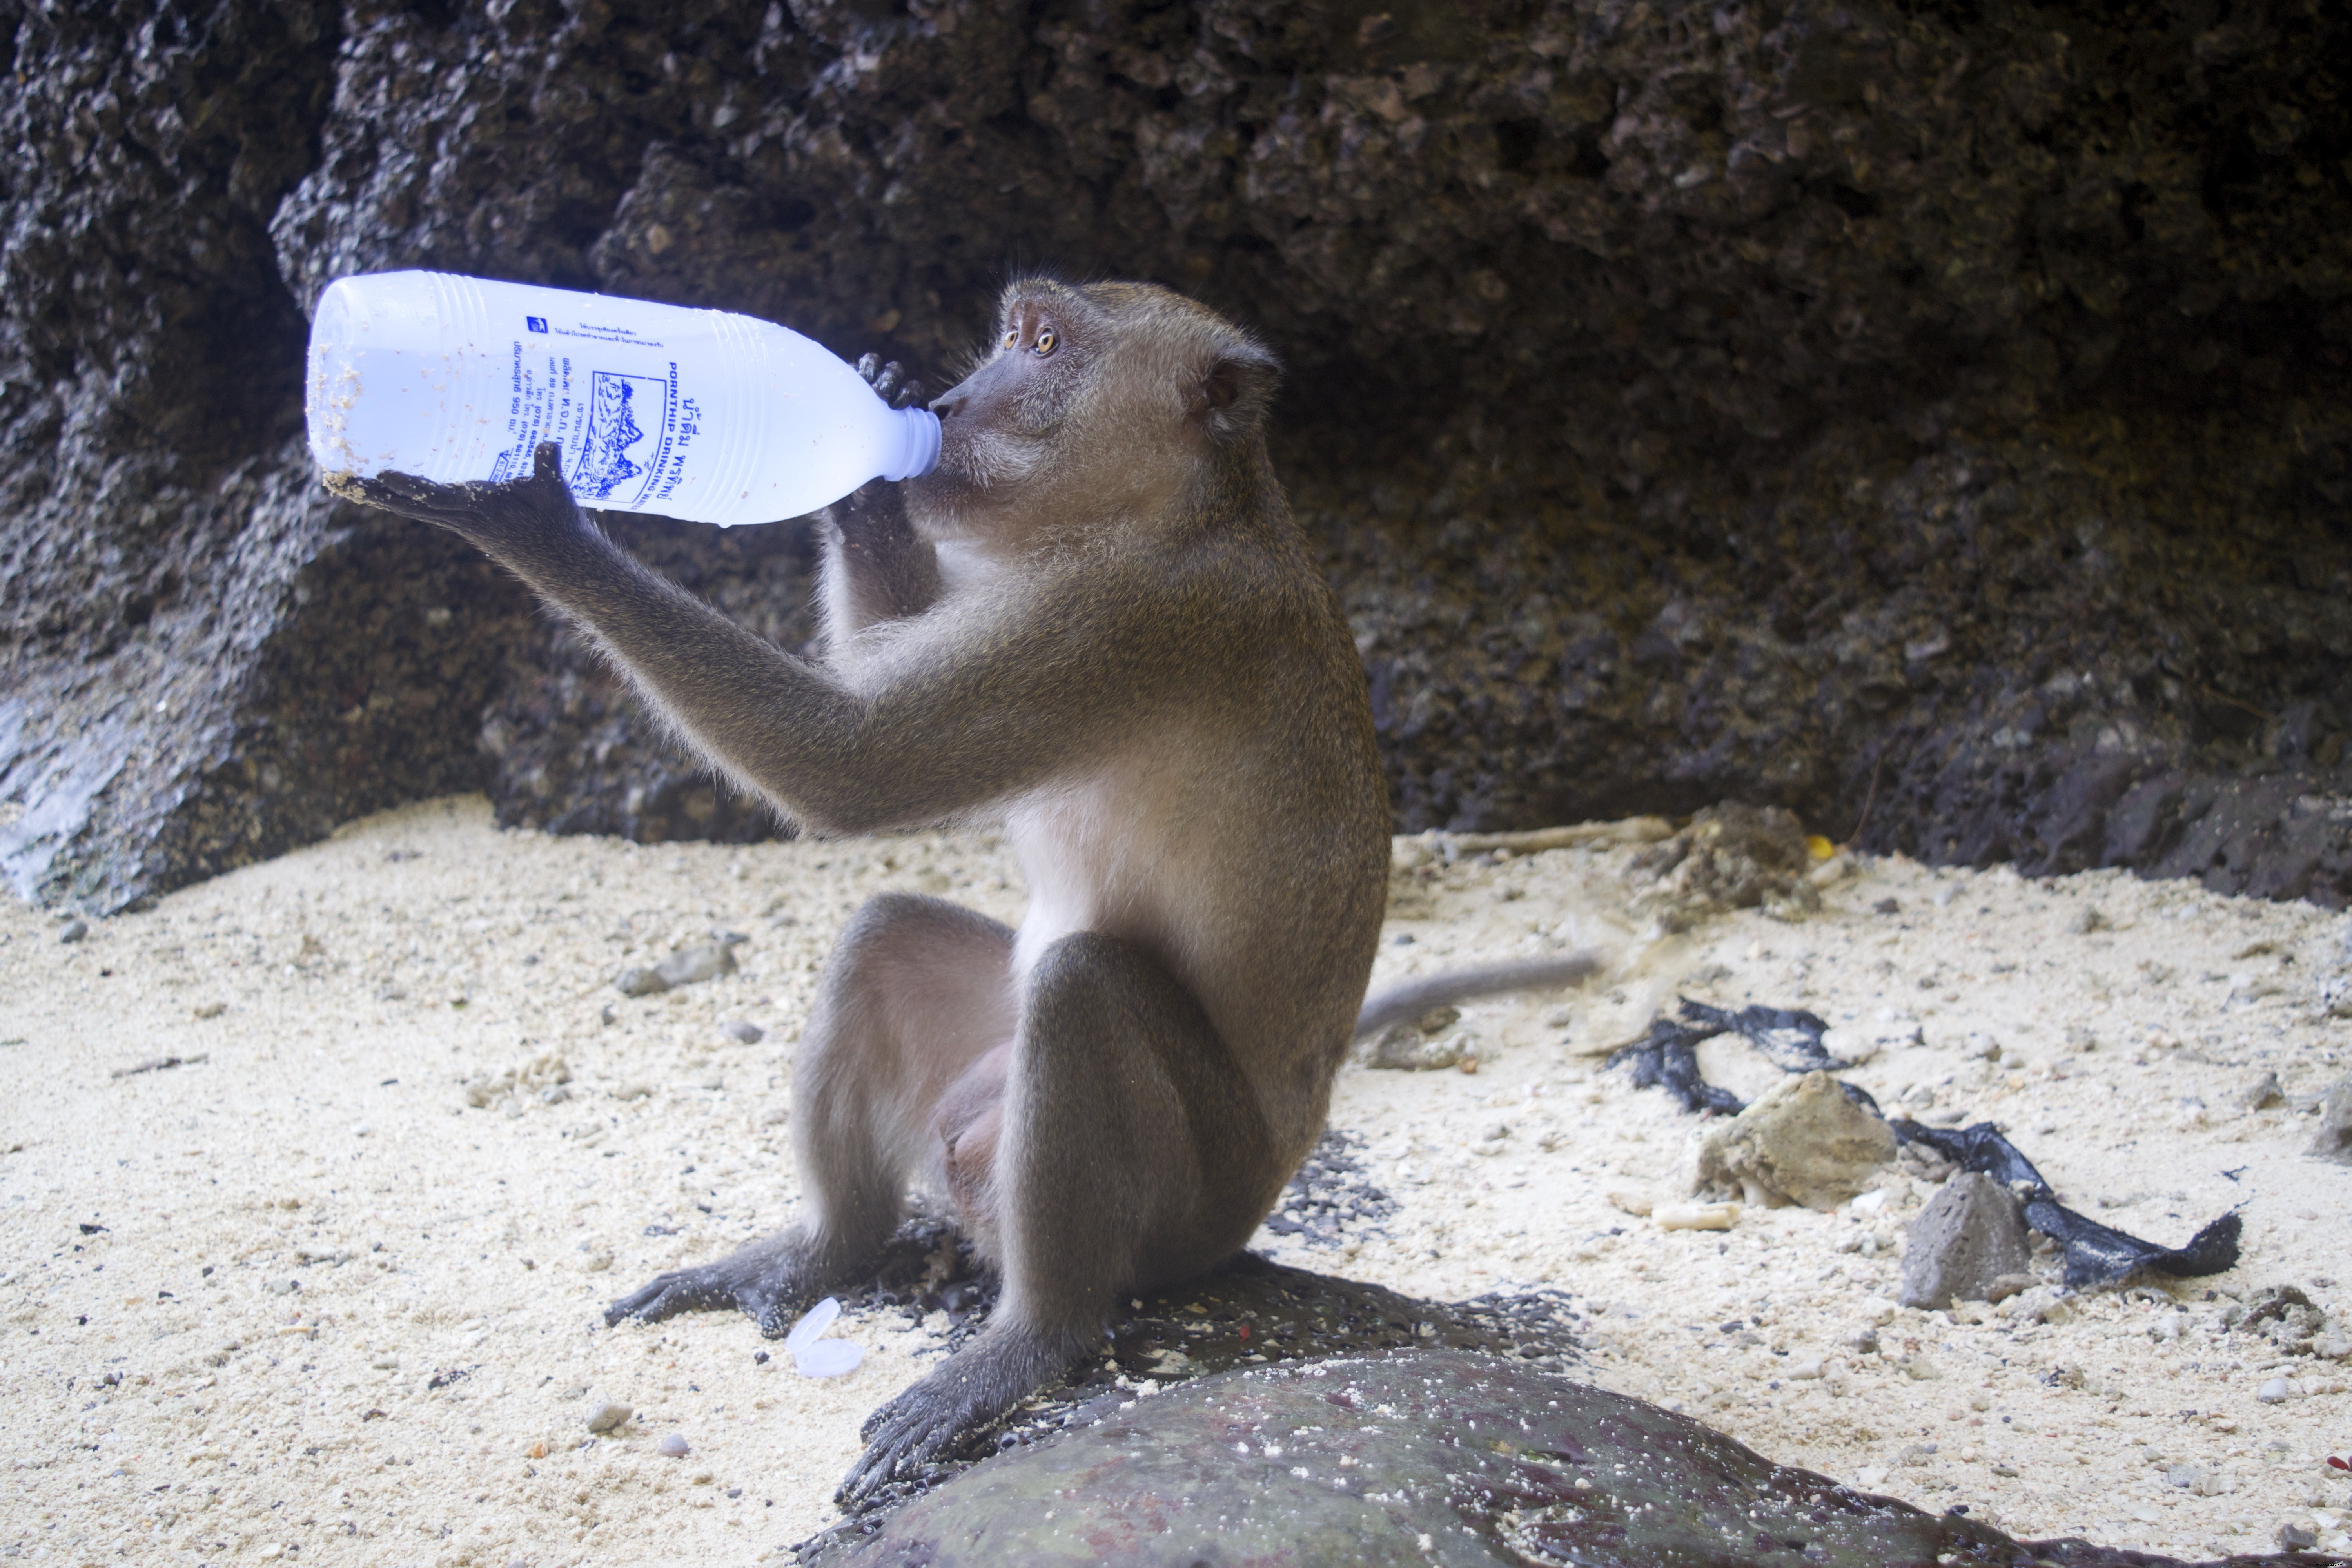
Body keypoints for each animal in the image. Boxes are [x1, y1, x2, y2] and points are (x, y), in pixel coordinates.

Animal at [343, 278, 1599, 1495]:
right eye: (1008, 335)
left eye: (1042, 345)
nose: (946, 406)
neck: (1179, 507)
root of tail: (1285, 1160)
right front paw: (867, 473)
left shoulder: (1125, 618)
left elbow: (855, 766)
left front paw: (529, 519)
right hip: (981, 1080)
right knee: (886, 935)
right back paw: (829, 1246)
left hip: (1196, 1200)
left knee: (1082, 989)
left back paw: (1031, 1339)